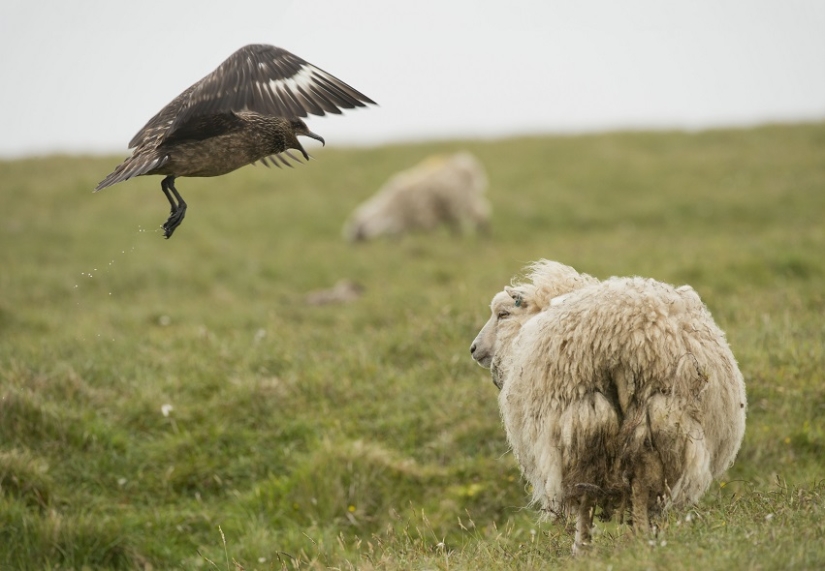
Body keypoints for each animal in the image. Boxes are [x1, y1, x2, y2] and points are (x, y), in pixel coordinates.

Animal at [342, 151, 490, 240]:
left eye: (355, 227)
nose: (348, 240)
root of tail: (465, 163)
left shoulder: (424, 215)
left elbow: (431, 231)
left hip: (462, 201)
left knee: (481, 214)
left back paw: (484, 235)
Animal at [470, 262, 748, 556]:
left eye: (503, 314)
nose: (473, 349)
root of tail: (629, 338)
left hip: (582, 421)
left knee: (586, 494)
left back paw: (582, 548)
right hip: (662, 421)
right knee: (642, 485)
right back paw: (644, 538)